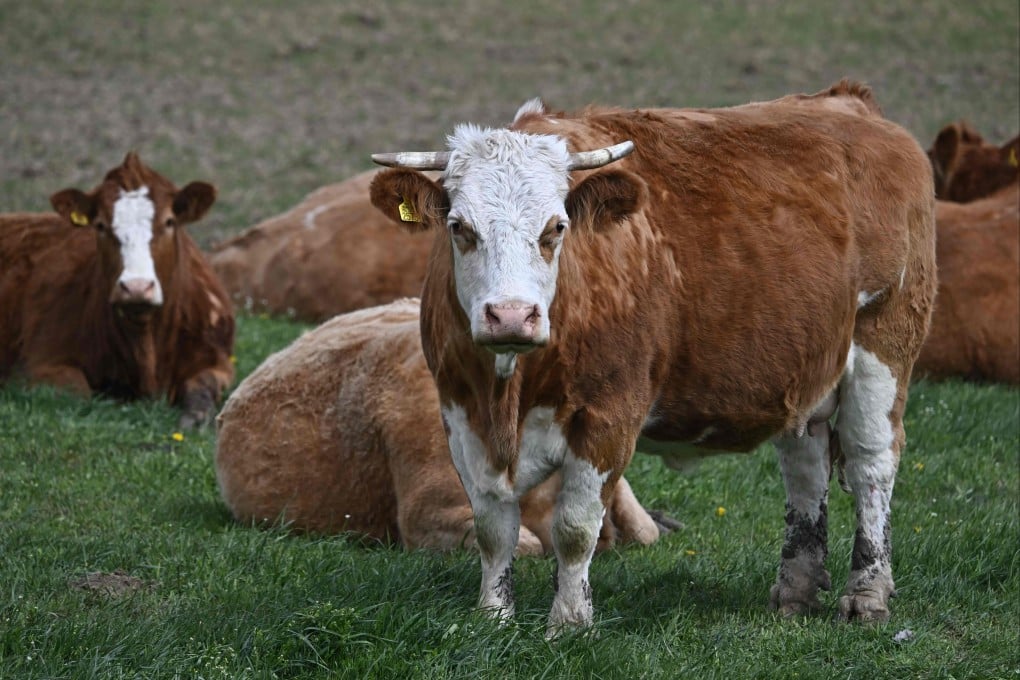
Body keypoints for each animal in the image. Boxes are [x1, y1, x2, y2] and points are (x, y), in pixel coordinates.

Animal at [0, 152, 235, 428]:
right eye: (100, 225)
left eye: (169, 222)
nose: (136, 287)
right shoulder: (38, 365)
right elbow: (80, 392)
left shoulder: (218, 361)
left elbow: (202, 388)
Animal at [368, 80, 936, 635]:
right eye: (460, 227)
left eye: (556, 228)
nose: (510, 316)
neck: (510, 391)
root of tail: (850, 103)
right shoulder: (461, 414)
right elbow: (492, 527)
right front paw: (492, 618)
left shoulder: (608, 416)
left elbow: (575, 529)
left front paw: (569, 623)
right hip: (804, 371)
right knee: (805, 468)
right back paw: (795, 592)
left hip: (884, 343)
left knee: (871, 462)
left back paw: (867, 593)